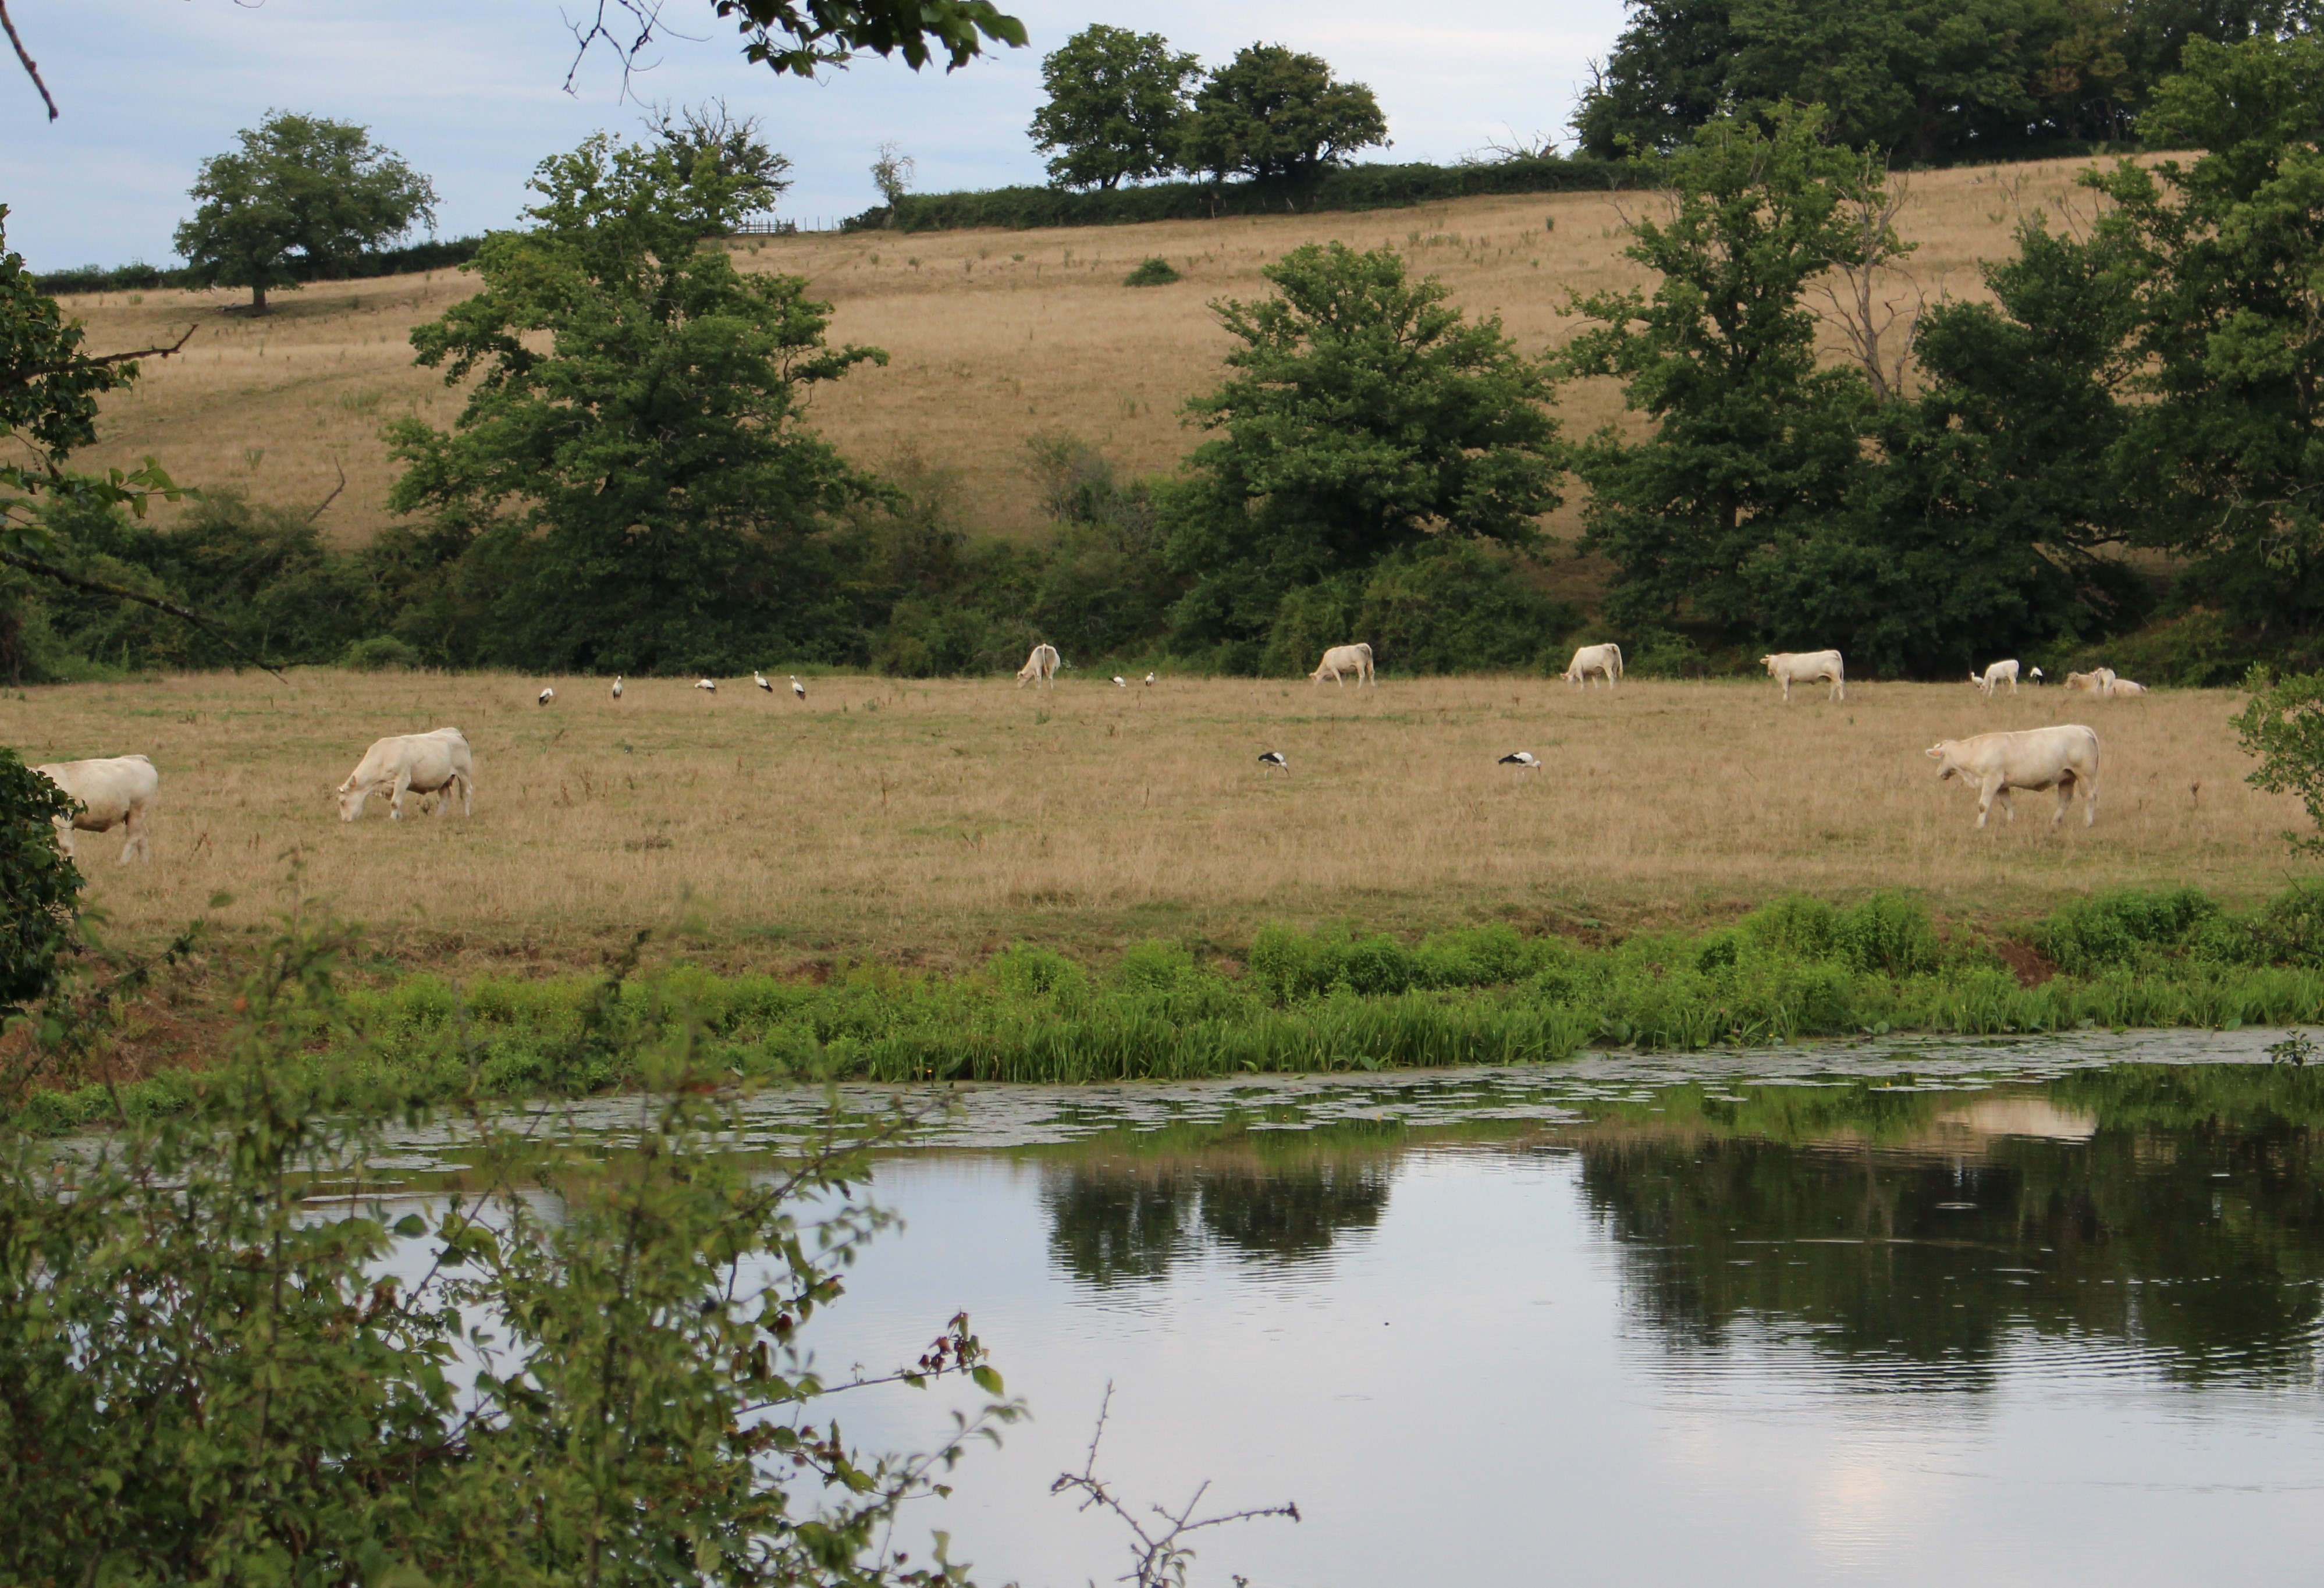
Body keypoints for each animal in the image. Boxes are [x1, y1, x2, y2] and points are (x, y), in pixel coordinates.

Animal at [34, 753, 159, 865]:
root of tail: (138, 758)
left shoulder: (62, 822)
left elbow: (65, 847)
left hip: (138, 810)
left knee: (133, 837)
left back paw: (122, 864)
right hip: (135, 815)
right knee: (143, 835)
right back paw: (143, 864)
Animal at [339, 730, 474, 827]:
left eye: (342, 802)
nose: (345, 820)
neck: (384, 756)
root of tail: (454, 732)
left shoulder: (402, 780)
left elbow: (395, 803)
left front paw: (392, 819)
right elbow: (394, 802)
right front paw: (400, 817)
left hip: (464, 774)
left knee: (466, 793)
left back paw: (466, 815)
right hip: (443, 780)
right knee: (445, 797)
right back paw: (438, 816)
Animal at [1757, 651, 1850, 702]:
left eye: (1769, 663)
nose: (1769, 673)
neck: (1778, 662)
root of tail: (1832, 652)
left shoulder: (1785, 677)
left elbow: (1785, 689)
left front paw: (1785, 700)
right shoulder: (1788, 679)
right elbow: (1788, 689)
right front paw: (1788, 699)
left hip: (1835, 675)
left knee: (1840, 685)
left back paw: (1842, 699)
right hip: (1831, 677)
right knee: (1834, 687)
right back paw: (1830, 700)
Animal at [1924, 725, 2110, 832]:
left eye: (1940, 758)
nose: (1939, 772)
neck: (1977, 751)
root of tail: (2082, 728)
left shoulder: (1992, 780)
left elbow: (1983, 805)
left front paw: (1979, 825)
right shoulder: (2002, 785)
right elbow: (2007, 804)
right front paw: (2011, 822)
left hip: (2085, 775)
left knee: (2089, 797)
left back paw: (2088, 822)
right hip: (2067, 777)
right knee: (2065, 800)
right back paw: (2054, 823)